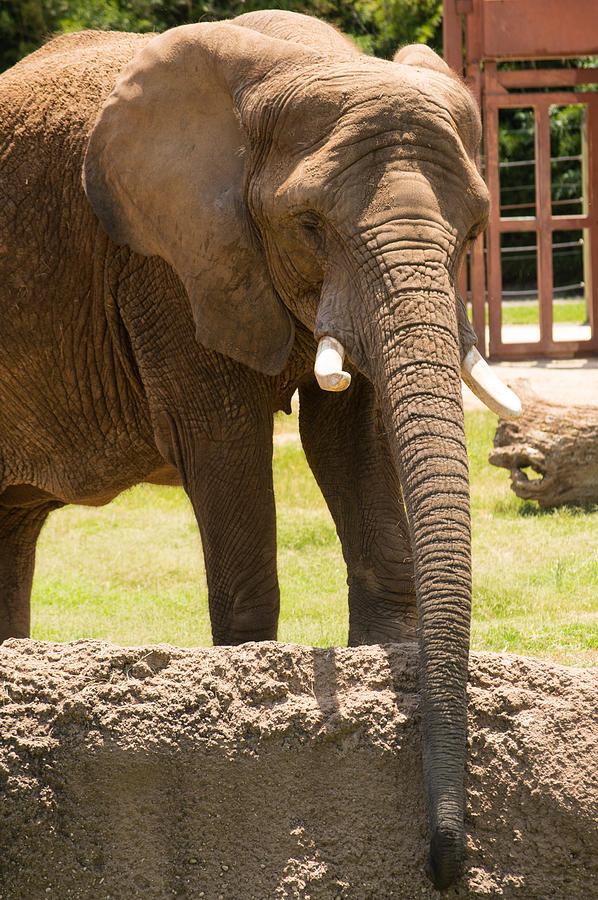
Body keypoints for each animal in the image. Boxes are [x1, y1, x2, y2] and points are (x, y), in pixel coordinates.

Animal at [0, 10, 520, 888]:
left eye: (475, 229)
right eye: (309, 227)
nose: (444, 863)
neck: (306, 66)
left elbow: (353, 440)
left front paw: (381, 664)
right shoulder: (170, 264)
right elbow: (222, 440)